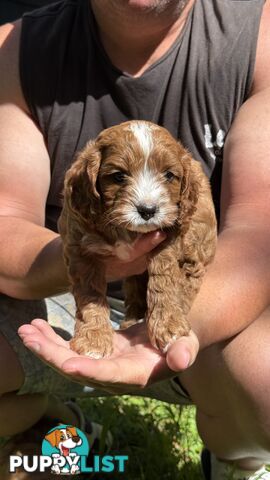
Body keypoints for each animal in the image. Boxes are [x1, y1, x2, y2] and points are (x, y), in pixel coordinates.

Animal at [59, 122, 217, 358]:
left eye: (169, 175)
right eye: (118, 176)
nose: (148, 210)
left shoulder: (169, 237)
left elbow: (165, 279)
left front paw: (168, 325)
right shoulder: (80, 247)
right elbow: (90, 294)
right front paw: (94, 339)